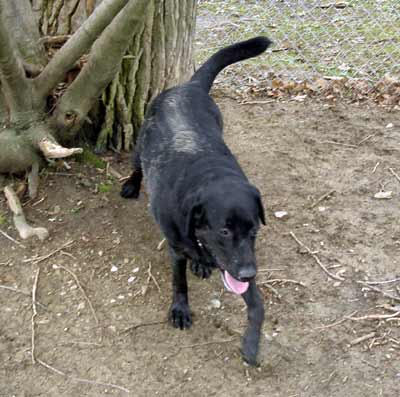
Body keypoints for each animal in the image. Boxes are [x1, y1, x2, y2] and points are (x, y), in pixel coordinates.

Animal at [122, 35, 272, 364]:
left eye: (254, 230)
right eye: (224, 230)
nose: (248, 273)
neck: (209, 174)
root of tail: (189, 86)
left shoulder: (242, 258)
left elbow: (257, 304)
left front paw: (251, 342)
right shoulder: (178, 248)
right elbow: (179, 283)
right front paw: (180, 310)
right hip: (140, 146)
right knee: (136, 166)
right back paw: (131, 185)